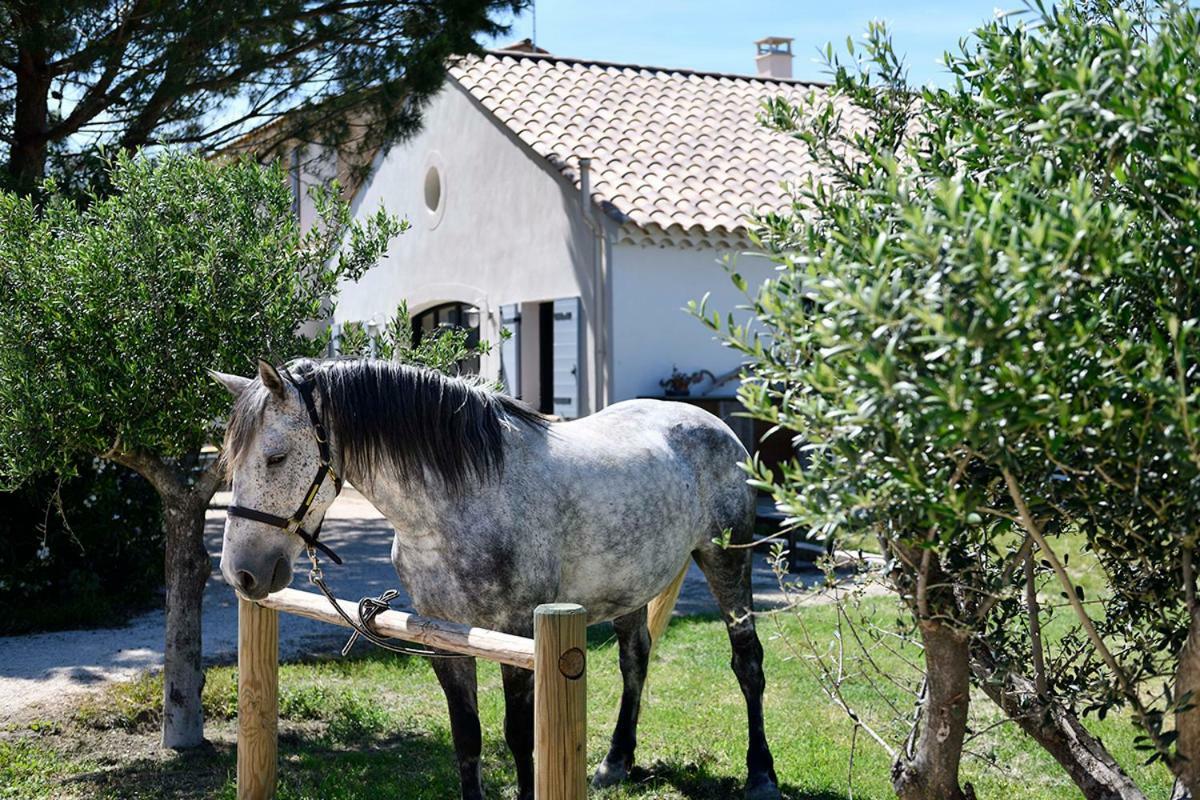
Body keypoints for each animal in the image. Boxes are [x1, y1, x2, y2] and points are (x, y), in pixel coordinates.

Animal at [214, 362, 777, 800]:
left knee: (747, 662)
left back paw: (761, 775)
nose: (241, 572)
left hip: (727, 562)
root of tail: (713, 423)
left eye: (276, 456)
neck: (460, 501)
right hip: (630, 586)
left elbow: (520, 737)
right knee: (635, 659)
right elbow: (468, 737)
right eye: (229, 464)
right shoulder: (444, 641)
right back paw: (614, 763)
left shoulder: (521, 636)